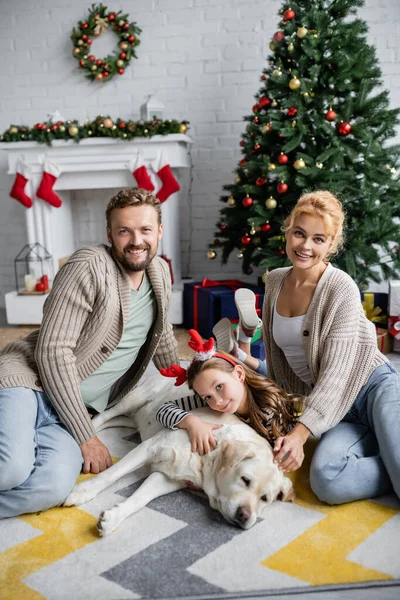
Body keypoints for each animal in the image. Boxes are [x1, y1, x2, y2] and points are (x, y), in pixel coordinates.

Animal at [64, 372, 296, 536]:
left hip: (135, 419)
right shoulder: (149, 448)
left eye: (265, 498)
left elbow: (141, 499)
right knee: (105, 414)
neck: (207, 459)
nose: (245, 516)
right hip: (134, 398)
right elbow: (111, 475)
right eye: (245, 480)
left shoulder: (167, 478)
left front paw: (113, 518)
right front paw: (83, 491)